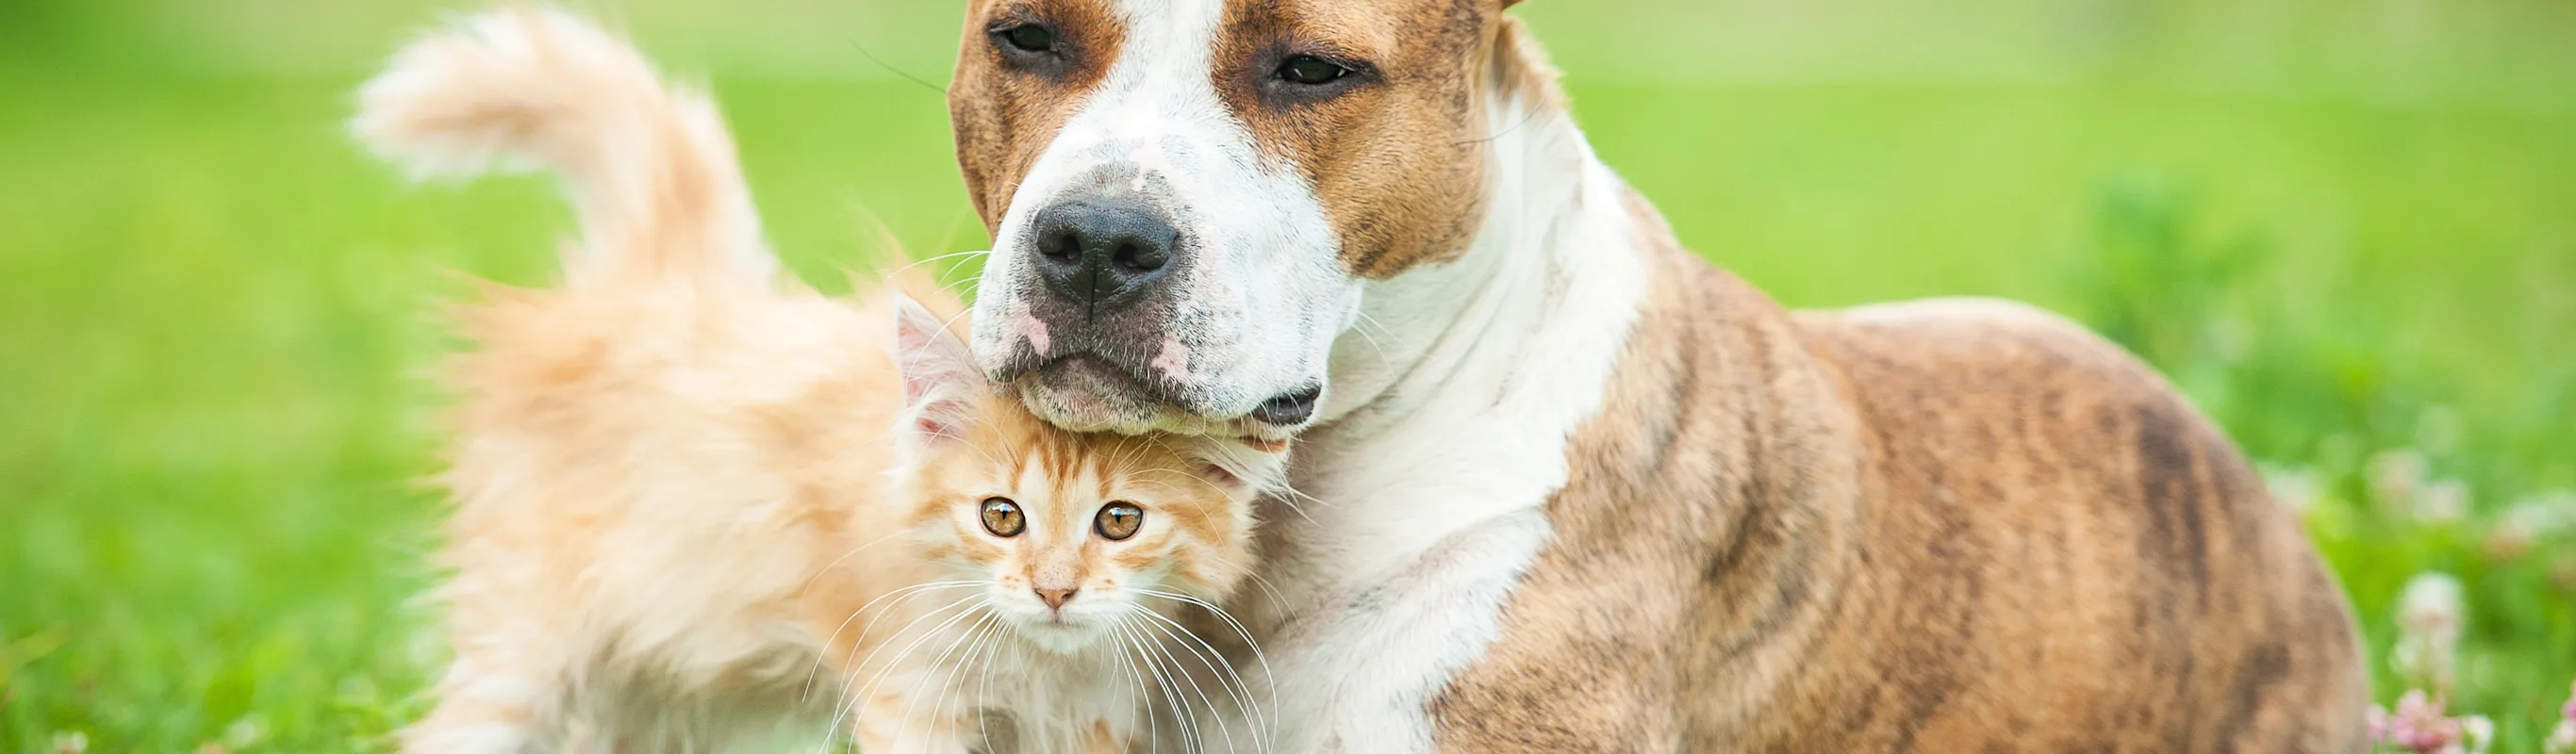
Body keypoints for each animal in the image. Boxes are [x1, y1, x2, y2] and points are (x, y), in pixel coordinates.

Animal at [357, 7, 1282, 751]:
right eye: (1001, 516)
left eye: (1120, 522)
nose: (1054, 590)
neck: (1036, 658)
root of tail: (660, 282)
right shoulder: (910, 693)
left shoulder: (1094, 713)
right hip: (529, 639)